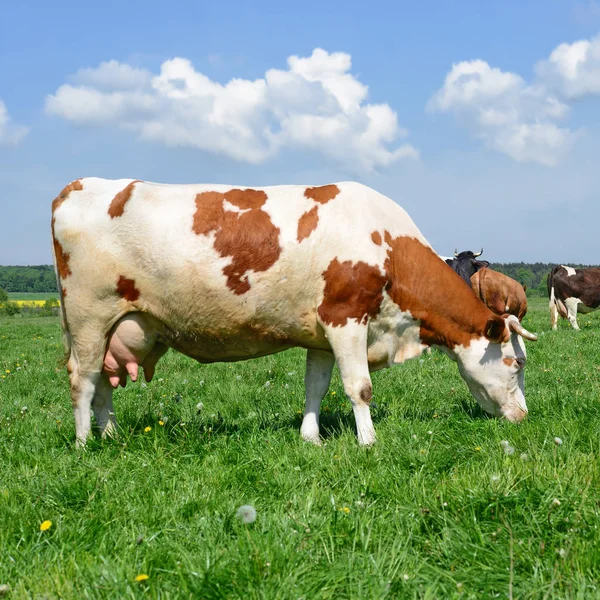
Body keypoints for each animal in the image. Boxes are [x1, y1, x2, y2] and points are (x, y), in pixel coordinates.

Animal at [51, 178, 540, 446]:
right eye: (516, 364)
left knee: (105, 383)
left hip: (117, 324)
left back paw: (111, 435)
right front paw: (369, 442)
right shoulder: (346, 318)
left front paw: (311, 438)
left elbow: (316, 388)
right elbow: (359, 387)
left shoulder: (321, 332)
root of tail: (79, 186)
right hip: (88, 316)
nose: (525, 417)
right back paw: (85, 444)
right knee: (84, 379)